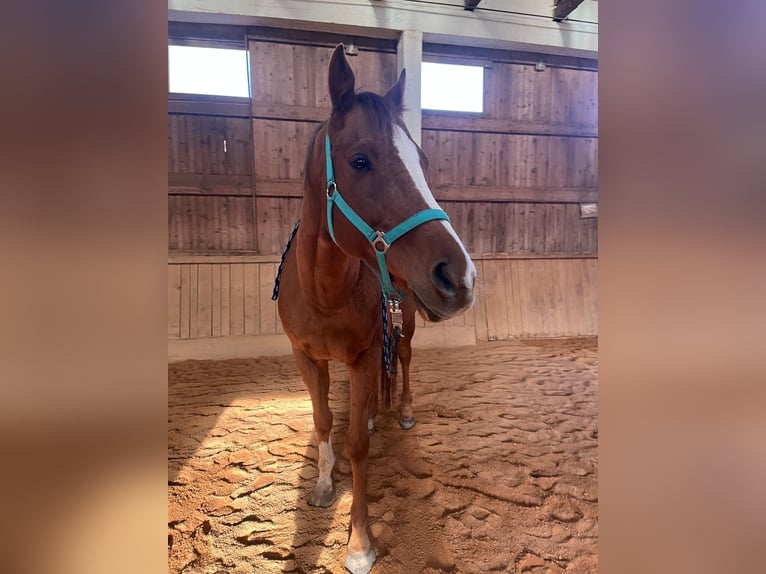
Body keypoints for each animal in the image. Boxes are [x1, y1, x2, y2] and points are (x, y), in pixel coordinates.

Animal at [274, 44, 476, 573]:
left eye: (422, 161)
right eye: (360, 160)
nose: (460, 277)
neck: (324, 291)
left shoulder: (367, 355)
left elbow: (358, 447)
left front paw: (360, 543)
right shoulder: (305, 357)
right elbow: (325, 421)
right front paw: (324, 486)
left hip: (404, 327)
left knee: (402, 361)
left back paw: (401, 412)